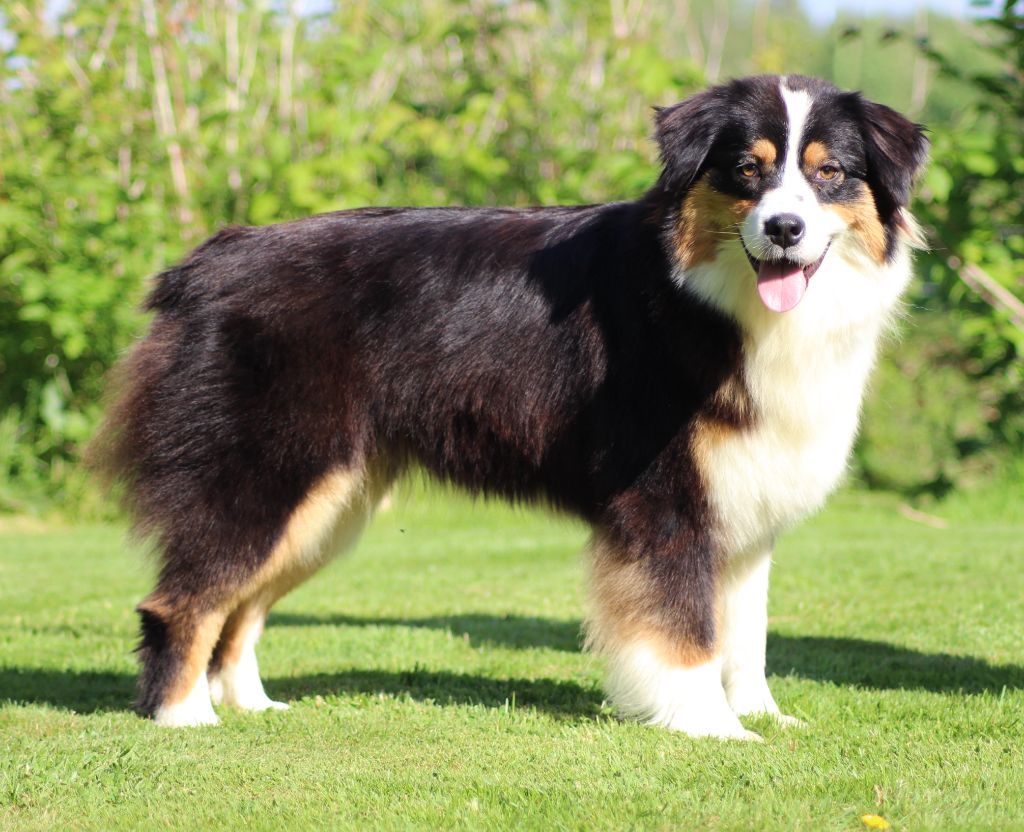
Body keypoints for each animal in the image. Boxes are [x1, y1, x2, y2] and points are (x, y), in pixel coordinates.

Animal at [97, 74, 929, 737]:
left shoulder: (746, 501)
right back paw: (184, 717)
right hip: (263, 475)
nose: (784, 228)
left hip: (327, 503)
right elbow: (686, 628)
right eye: (746, 170)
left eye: (829, 174)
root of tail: (206, 263)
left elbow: (746, 633)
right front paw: (713, 728)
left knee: (241, 609)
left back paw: (251, 706)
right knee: (184, 601)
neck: (708, 297)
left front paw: (763, 714)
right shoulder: (663, 498)